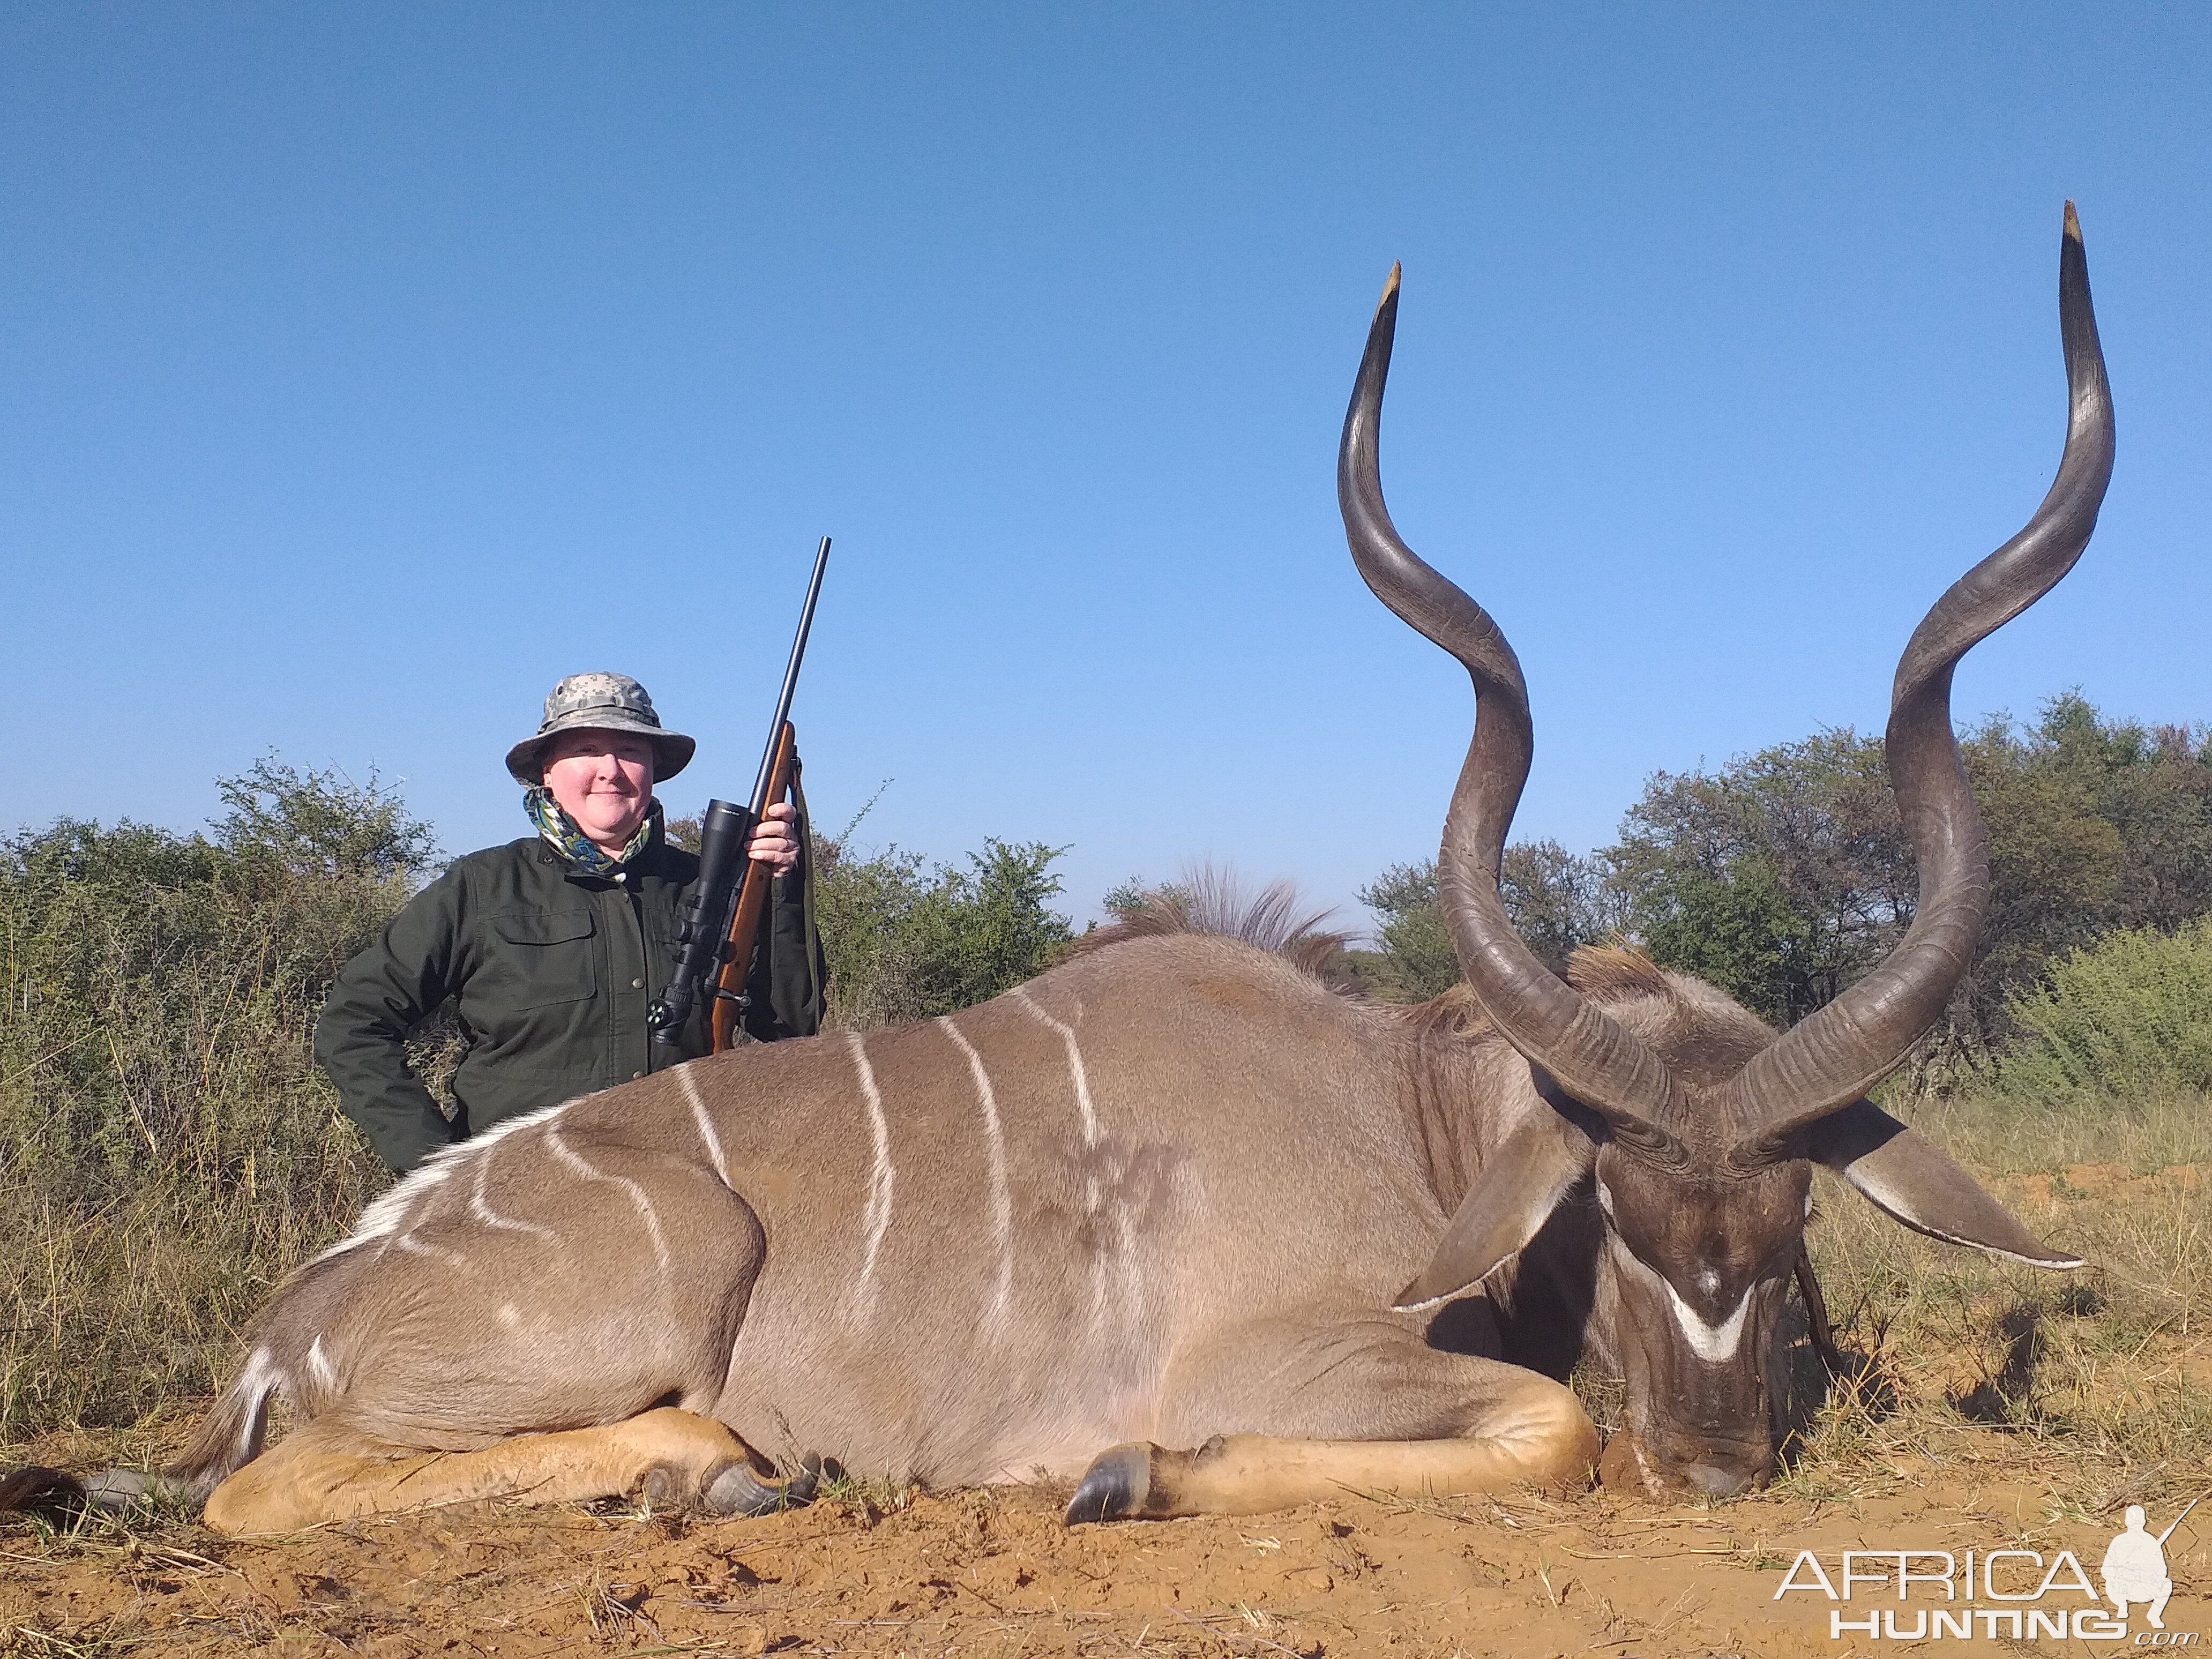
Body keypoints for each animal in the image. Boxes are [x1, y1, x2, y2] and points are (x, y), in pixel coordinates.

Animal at [4, 211, 2105, 1548]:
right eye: (1604, 1197)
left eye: (1794, 1210)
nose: (1720, 1473)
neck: (1406, 1110)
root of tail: (294, 1321)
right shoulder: (1289, 1351)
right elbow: (1546, 1419)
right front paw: (1112, 1472)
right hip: (665, 1275)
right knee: (262, 1491)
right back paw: (715, 1465)